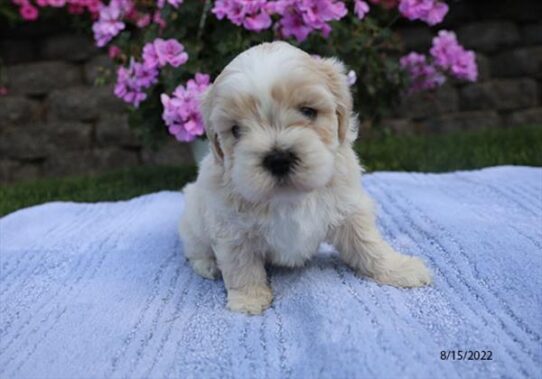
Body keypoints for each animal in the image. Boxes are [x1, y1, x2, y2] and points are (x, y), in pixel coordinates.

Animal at [182, 40, 434, 314]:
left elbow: (368, 243)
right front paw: (249, 301)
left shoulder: (349, 209)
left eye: (308, 111)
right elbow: (241, 267)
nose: (278, 159)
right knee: (196, 251)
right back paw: (209, 266)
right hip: (193, 226)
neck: (288, 197)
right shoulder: (231, 229)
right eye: (236, 130)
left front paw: (400, 269)